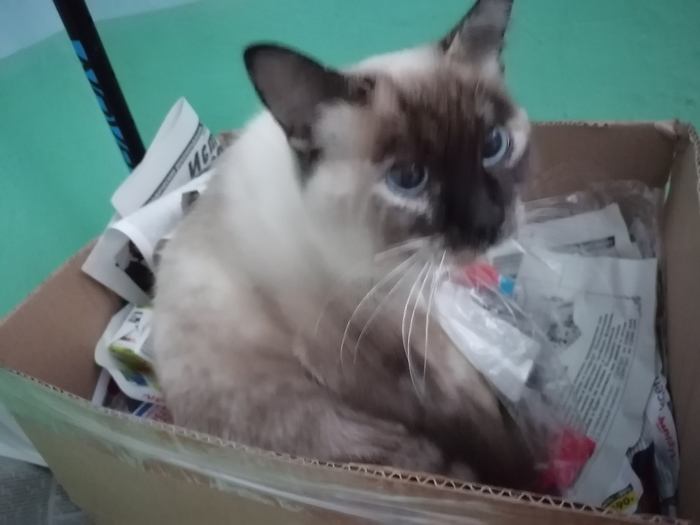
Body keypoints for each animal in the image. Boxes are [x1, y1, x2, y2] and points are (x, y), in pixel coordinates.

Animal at [153, 0, 536, 490]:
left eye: (493, 145)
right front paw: (530, 479)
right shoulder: (379, 346)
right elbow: (475, 422)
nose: (488, 224)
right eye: (408, 178)